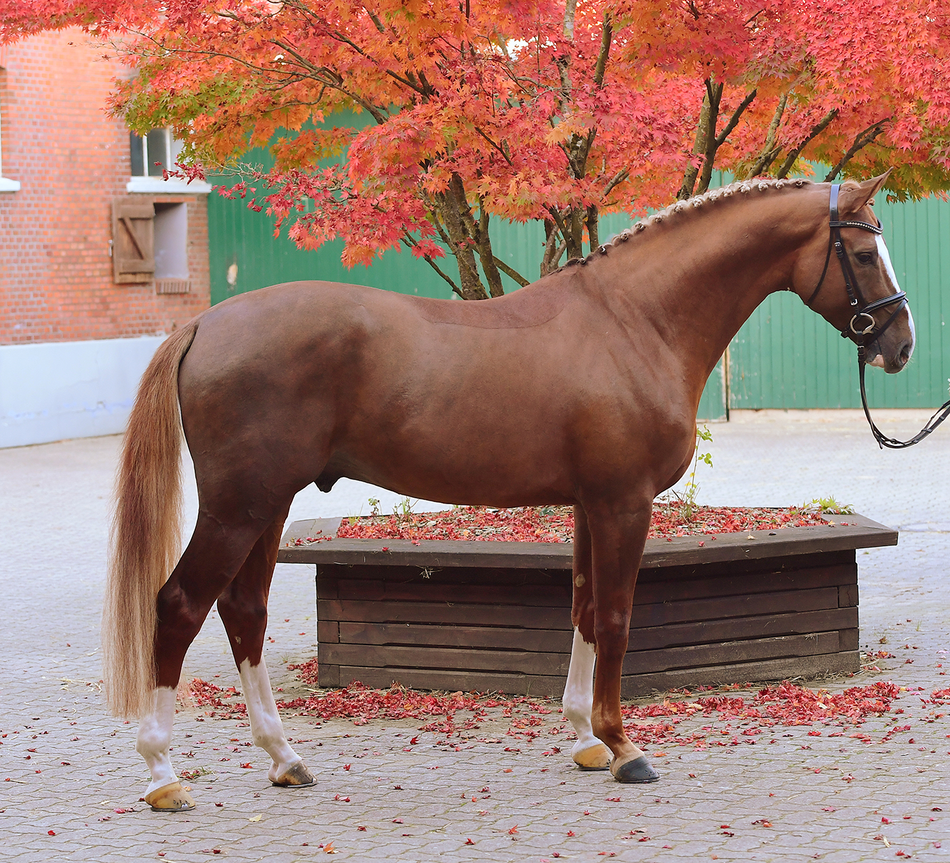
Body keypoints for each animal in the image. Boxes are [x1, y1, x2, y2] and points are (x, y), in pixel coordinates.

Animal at [104, 173, 914, 811]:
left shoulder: (591, 503)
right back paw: (162, 773)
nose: (899, 344)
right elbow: (616, 617)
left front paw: (585, 737)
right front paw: (624, 748)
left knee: (244, 611)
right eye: (863, 253)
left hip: (265, 505)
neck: (635, 320)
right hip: (237, 508)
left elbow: (583, 607)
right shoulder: (624, 502)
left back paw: (284, 758)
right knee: (180, 604)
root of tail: (205, 322)